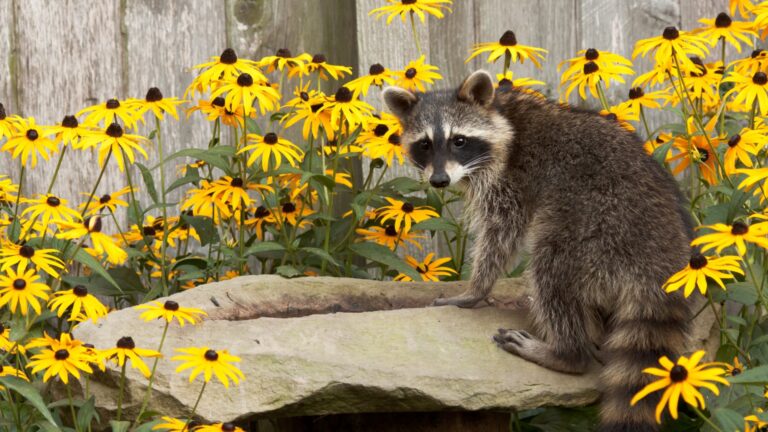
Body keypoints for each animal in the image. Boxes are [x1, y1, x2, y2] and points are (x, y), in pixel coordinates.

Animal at [381, 71, 695, 432]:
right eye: (425, 144)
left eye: (459, 140)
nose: (439, 180)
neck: (501, 114)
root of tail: (662, 257)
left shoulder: (513, 179)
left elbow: (501, 235)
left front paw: (476, 289)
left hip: (599, 228)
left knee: (551, 269)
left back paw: (565, 352)